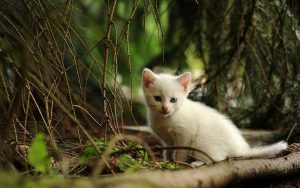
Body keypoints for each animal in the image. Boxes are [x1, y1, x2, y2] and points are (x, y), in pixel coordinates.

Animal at [142, 68, 288, 164]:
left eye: (173, 100)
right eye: (157, 98)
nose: (165, 108)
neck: (166, 119)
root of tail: (238, 149)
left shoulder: (186, 135)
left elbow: (181, 153)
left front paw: (177, 163)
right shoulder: (167, 141)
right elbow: (168, 150)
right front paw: (166, 161)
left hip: (201, 142)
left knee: (218, 159)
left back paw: (197, 164)